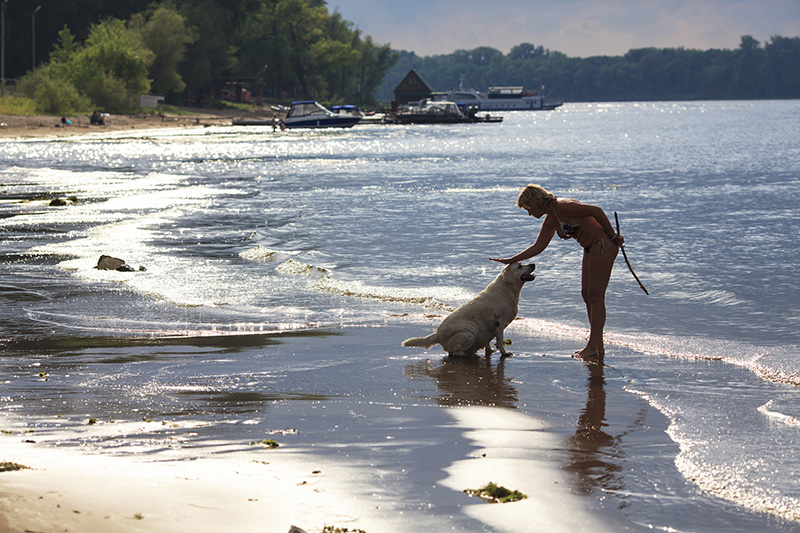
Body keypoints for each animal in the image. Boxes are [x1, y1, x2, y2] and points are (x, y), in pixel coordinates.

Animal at [400, 262, 536, 358]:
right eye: (519, 266)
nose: (533, 264)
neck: (507, 288)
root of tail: (437, 334)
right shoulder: (499, 323)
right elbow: (500, 341)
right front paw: (504, 353)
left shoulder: (490, 328)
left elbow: (489, 342)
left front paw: (490, 351)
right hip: (469, 332)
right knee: (453, 352)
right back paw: (469, 354)